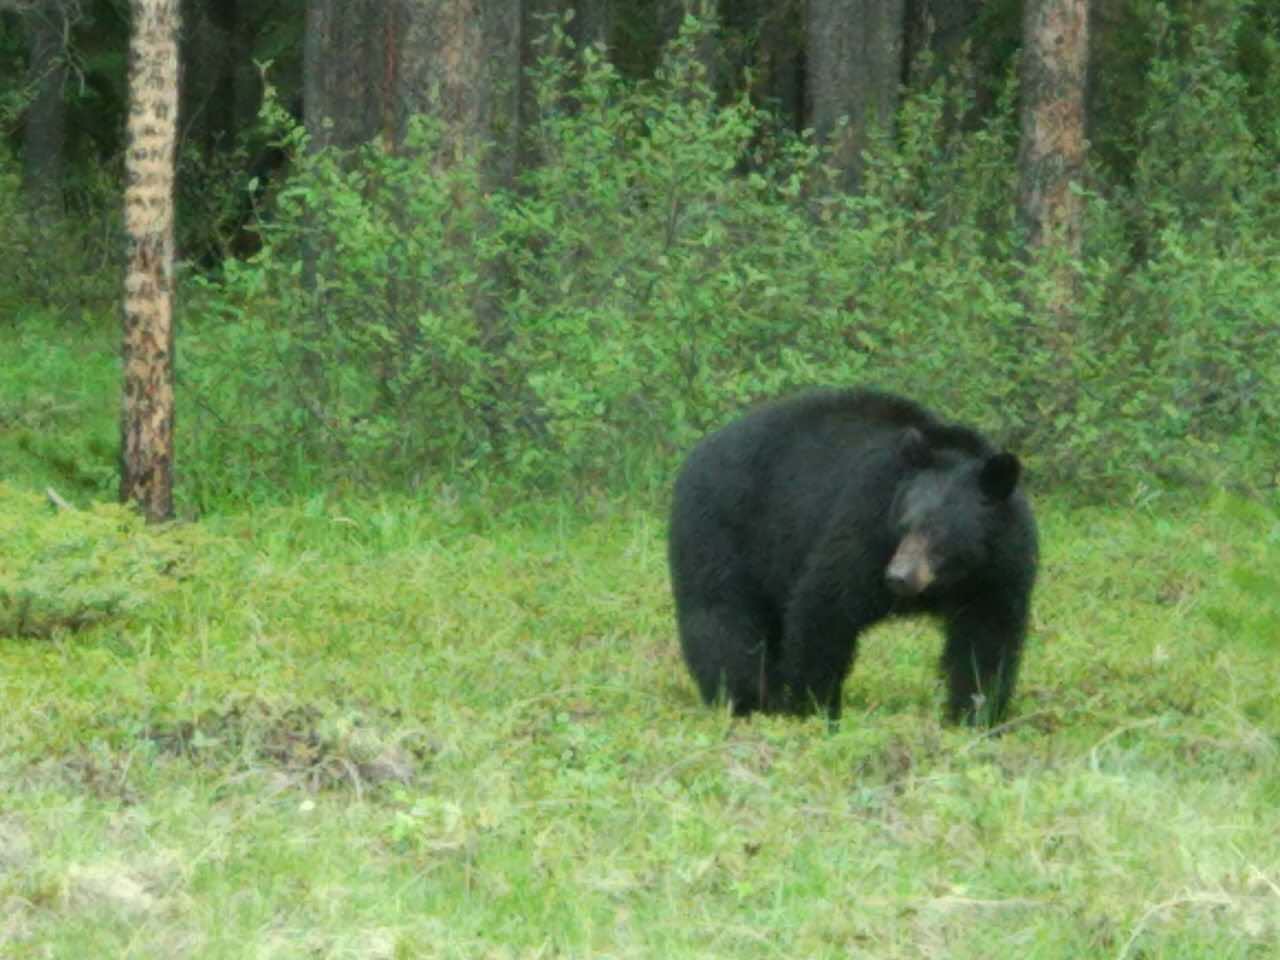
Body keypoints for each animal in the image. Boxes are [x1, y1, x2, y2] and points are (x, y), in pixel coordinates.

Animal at [670, 386, 1039, 727]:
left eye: (940, 534)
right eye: (905, 523)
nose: (899, 577)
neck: (952, 578)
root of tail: (695, 455)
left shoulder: (998, 568)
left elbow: (987, 637)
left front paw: (973, 714)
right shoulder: (867, 521)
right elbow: (826, 603)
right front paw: (815, 709)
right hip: (722, 528)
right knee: (720, 619)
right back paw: (747, 700)